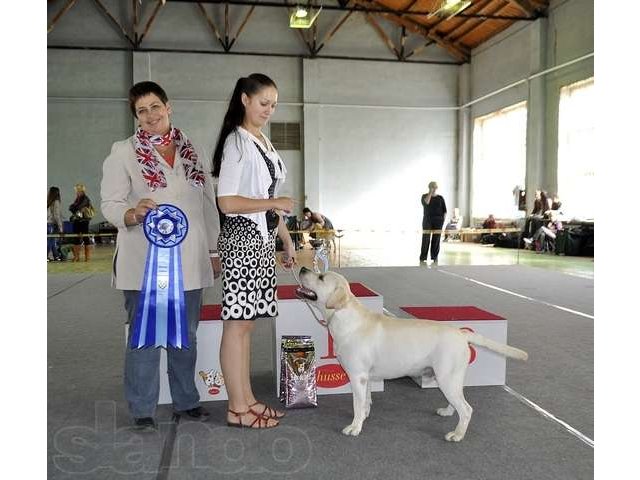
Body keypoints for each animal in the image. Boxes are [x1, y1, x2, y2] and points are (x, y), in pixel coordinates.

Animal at [298, 268, 528, 440]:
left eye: (321, 277)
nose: (302, 268)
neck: (344, 316)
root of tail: (461, 333)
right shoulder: (366, 377)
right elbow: (366, 401)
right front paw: (364, 417)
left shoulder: (357, 376)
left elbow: (357, 403)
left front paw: (355, 427)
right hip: (453, 378)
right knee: (458, 402)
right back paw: (447, 412)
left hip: (446, 378)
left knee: (467, 409)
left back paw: (457, 434)